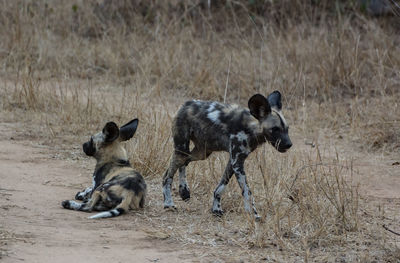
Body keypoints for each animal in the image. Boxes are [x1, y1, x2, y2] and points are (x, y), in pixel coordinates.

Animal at [162, 91, 290, 219]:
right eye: (275, 129)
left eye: (287, 129)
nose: (289, 144)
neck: (250, 127)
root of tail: (185, 104)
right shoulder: (237, 163)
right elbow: (247, 191)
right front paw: (254, 214)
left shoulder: (234, 161)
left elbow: (220, 188)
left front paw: (216, 209)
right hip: (181, 149)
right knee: (167, 176)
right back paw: (168, 203)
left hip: (201, 153)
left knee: (184, 163)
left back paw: (184, 190)